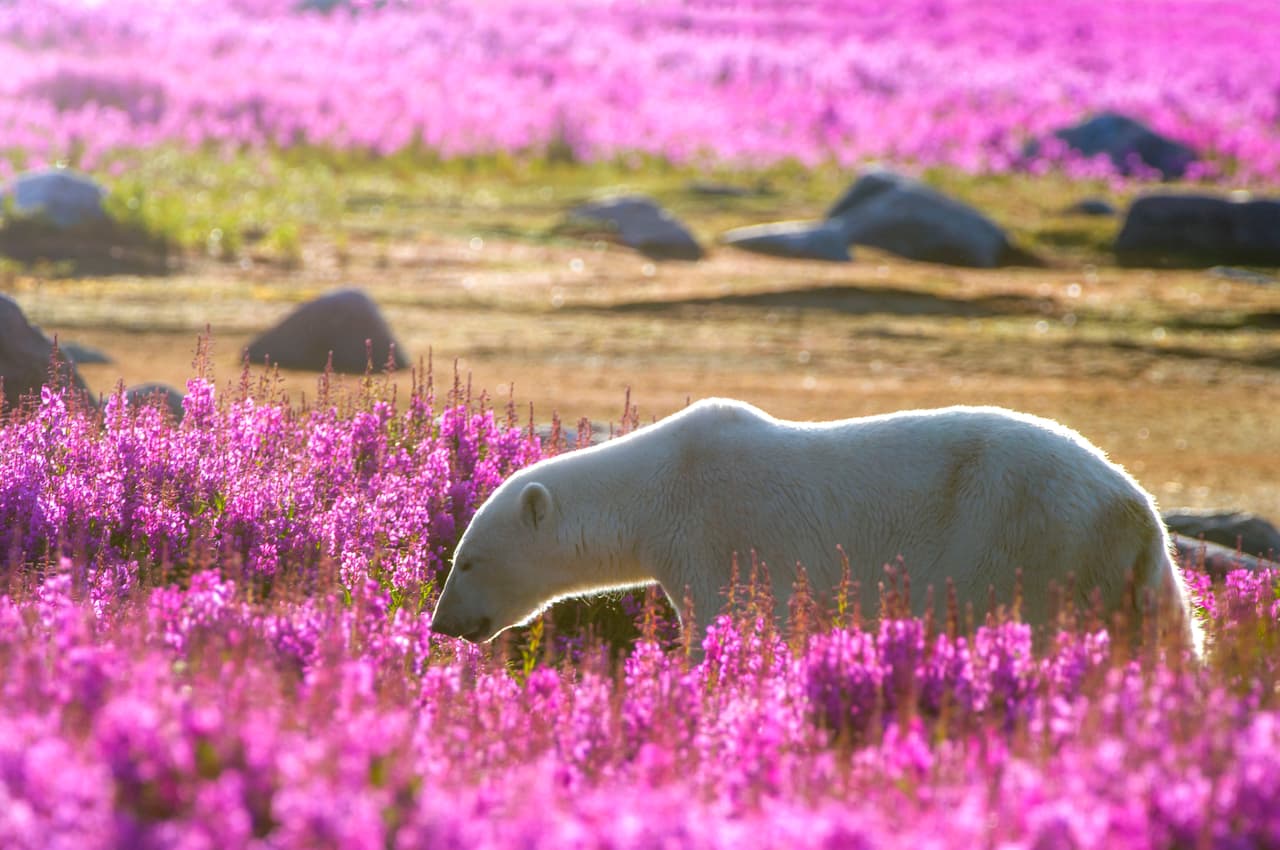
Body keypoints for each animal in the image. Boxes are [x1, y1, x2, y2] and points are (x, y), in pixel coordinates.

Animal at [431, 399, 1203, 658]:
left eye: (466, 561)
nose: (441, 624)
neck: (660, 485)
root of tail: (1140, 512)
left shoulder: (718, 535)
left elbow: (726, 625)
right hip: (1123, 574)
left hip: (1029, 540)